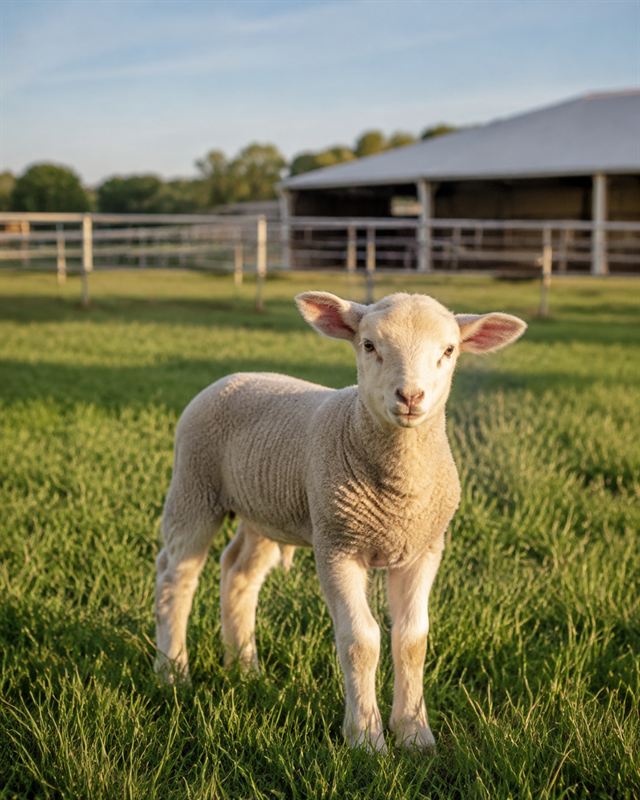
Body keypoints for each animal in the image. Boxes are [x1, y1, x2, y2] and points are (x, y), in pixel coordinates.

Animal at [154, 290, 526, 752]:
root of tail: (234, 376)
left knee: (239, 573)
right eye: (369, 345)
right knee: (176, 577)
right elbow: (360, 640)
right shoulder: (337, 545)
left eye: (449, 350)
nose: (410, 396)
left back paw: (244, 667)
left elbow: (413, 639)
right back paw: (173, 672)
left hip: (264, 511)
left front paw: (414, 734)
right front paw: (366, 738)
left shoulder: (423, 549)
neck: (398, 490)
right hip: (195, 485)